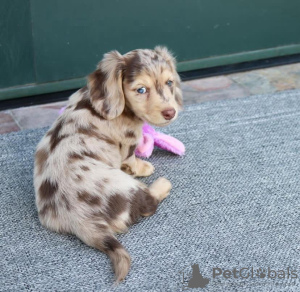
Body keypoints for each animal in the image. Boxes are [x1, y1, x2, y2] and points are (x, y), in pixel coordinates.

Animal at [33, 46, 183, 282]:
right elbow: (131, 157)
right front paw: (142, 166)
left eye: (169, 82)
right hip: (126, 186)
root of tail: (77, 218)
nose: (171, 112)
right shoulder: (129, 141)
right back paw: (160, 184)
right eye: (141, 90)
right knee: (148, 203)